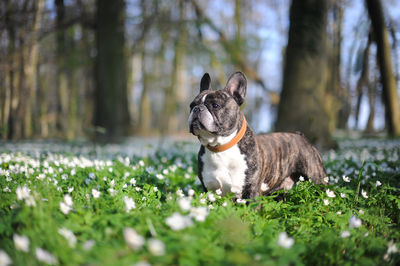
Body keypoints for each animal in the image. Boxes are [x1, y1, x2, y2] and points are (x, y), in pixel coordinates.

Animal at [189, 71, 326, 198]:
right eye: (191, 105)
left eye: (215, 105)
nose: (197, 109)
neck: (220, 147)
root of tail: (300, 136)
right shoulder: (210, 191)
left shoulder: (251, 191)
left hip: (317, 179)